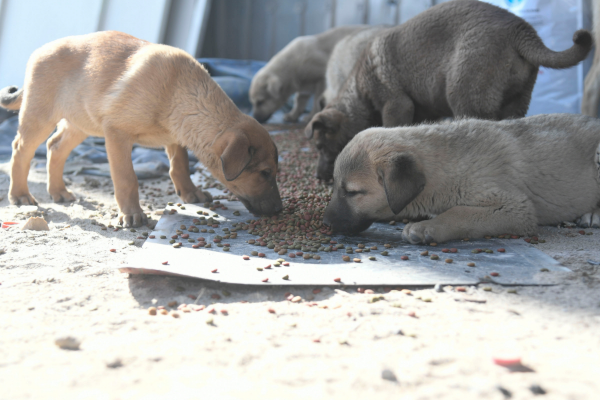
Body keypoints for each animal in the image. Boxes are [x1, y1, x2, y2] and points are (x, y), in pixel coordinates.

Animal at [1, 30, 282, 227]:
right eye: (265, 173)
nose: (280, 210)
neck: (178, 89)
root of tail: (39, 51)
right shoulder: (117, 134)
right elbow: (127, 179)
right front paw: (132, 215)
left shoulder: (175, 137)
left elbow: (180, 166)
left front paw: (190, 193)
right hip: (39, 115)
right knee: (21, 150)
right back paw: (20, 195)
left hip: (80, 122)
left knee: (55, 147)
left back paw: (58, 191)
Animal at [326, 113, 600, 244]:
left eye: (352, 192)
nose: (326, 222)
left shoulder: (514, 207)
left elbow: (460, 212)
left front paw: (425, 228)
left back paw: (592, 215)